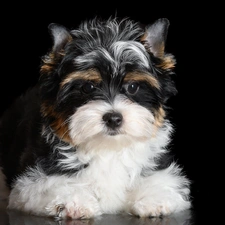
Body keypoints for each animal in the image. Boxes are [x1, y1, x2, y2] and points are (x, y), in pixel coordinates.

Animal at [0, 16, 192, 220]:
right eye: (88, 87)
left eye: (132, 87)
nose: (113, 118)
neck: (107, 148)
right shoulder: (34, 180)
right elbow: (50, 185)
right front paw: (72, 201)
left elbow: (159, 180)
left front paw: (152, 198)